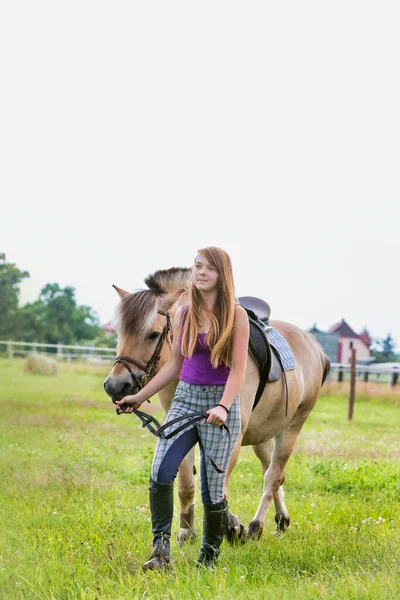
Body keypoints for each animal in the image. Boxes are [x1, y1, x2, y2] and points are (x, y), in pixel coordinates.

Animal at [104, 268, 332, 544]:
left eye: (153, 334)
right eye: (120, 332)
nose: (115, 386)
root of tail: (313, 345)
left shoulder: (231, 432)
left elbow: (217, 484)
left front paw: (230, 526)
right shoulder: (177, 426)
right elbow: (186, 482)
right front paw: (187, 532)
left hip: (292, 426)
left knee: (273, 475)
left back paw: (256, 526)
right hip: (263, 433)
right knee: (271, 469)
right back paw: (281, 519)